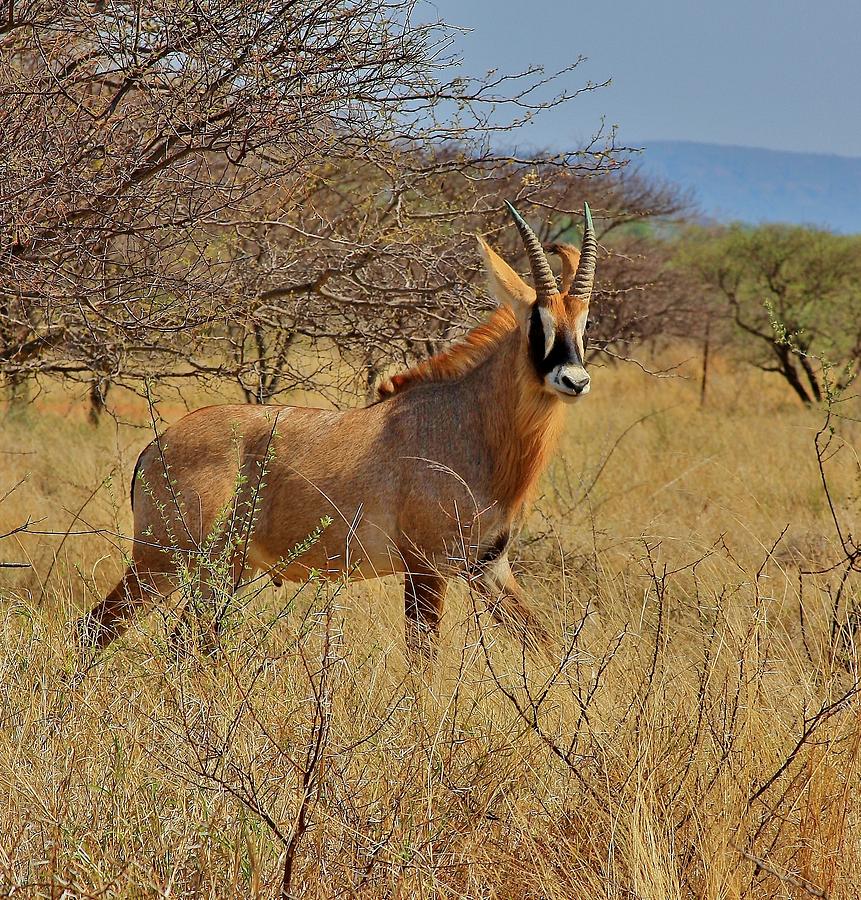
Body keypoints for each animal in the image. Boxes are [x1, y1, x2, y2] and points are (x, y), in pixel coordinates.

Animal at [77, 202, 596, 652]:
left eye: (583, 325)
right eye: (537, 324)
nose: (574, 380)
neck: (469, 422)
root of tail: (155, 447)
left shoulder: (490, 567)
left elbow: (546, 645)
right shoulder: (425, 567)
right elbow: (422, 663)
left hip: (220, 569)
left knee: (184, 640)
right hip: (165, 560)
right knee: (98, 626)